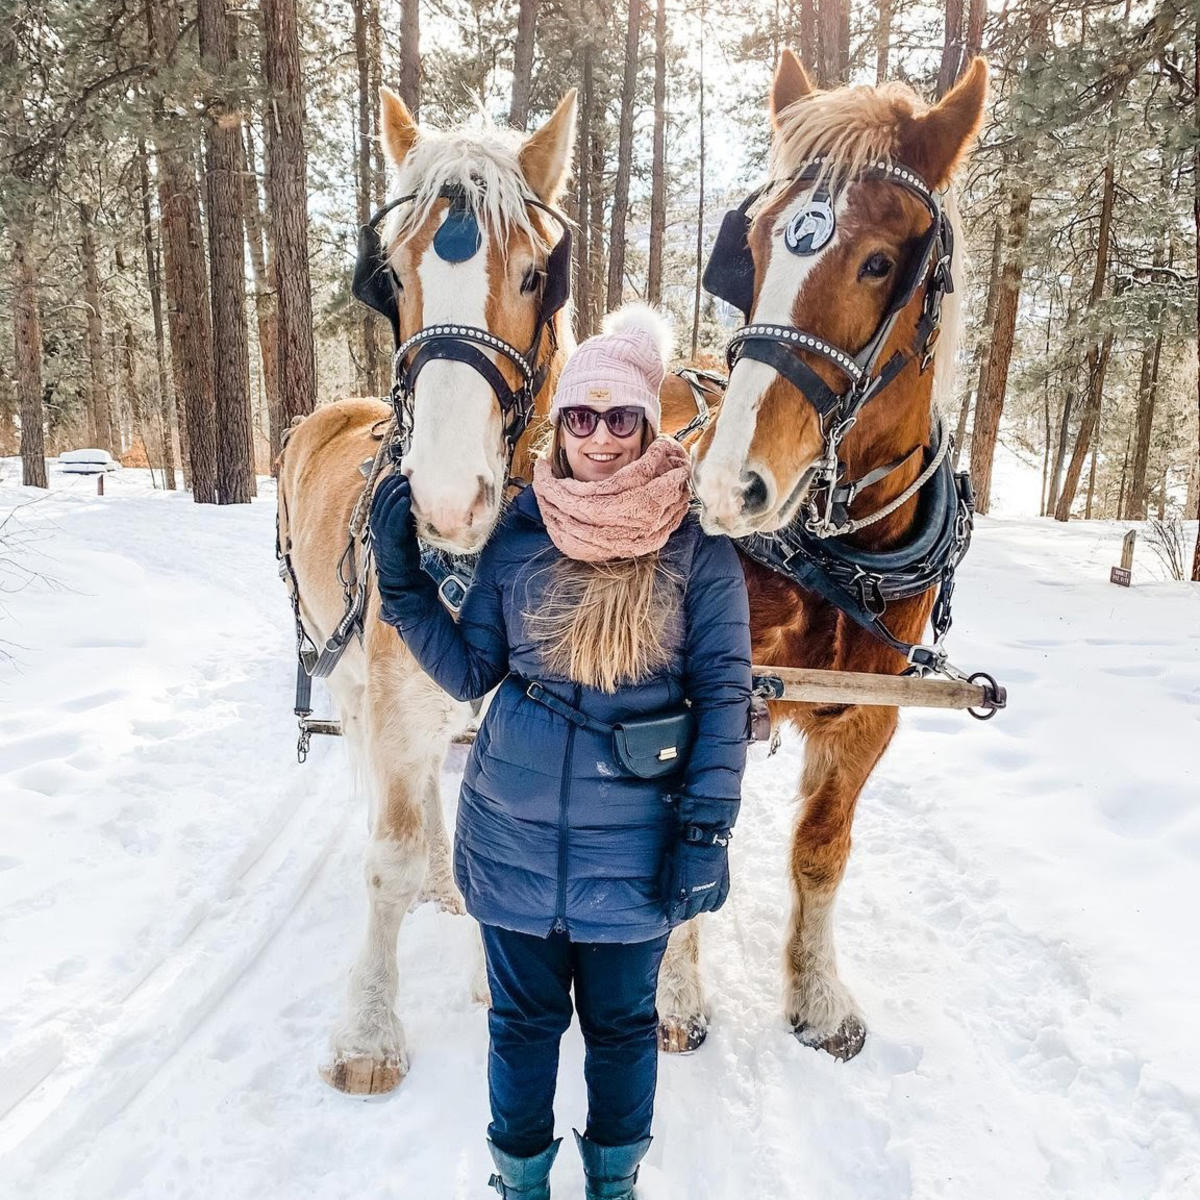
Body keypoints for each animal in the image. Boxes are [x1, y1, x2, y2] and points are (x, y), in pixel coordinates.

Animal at [667, 54, 984, 1060]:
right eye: (754, 246)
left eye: (880, 262)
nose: (727, 486)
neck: (840, 561)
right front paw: (673, 994)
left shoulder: (870, 715)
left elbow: (821, 849)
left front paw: (816, 996)